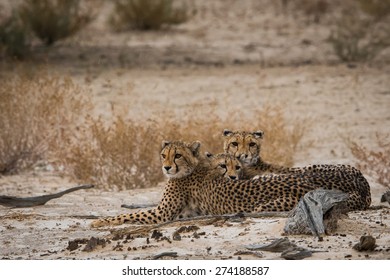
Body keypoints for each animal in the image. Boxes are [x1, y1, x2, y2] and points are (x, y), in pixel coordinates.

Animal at [91, 140, 372, 228]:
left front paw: (98, 221)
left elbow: (127, 215)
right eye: (164, 155)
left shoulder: (162, 214)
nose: (166, 167)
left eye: (177, 155)